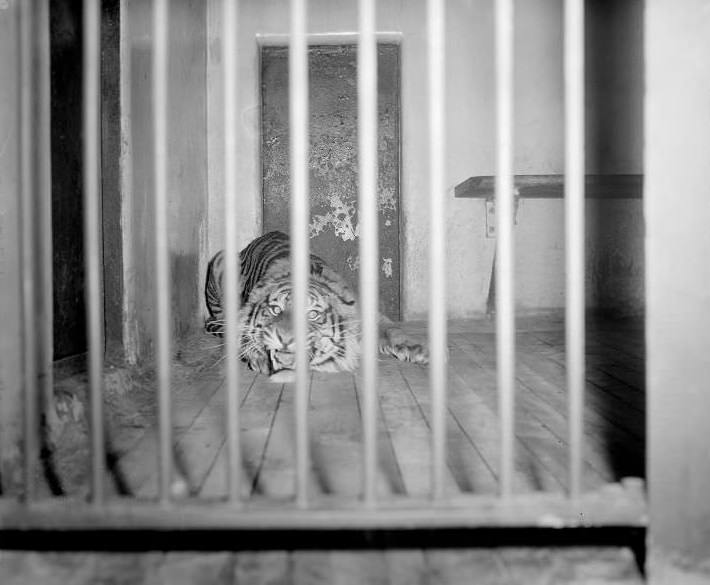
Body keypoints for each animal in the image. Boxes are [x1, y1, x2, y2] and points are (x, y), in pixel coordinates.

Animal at [203, 230, 432, 380]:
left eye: (312, 314)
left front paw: (419, 350)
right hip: (222, 260)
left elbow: (393, 330)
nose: (286, 340)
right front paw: (259, 357)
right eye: (275, 311)